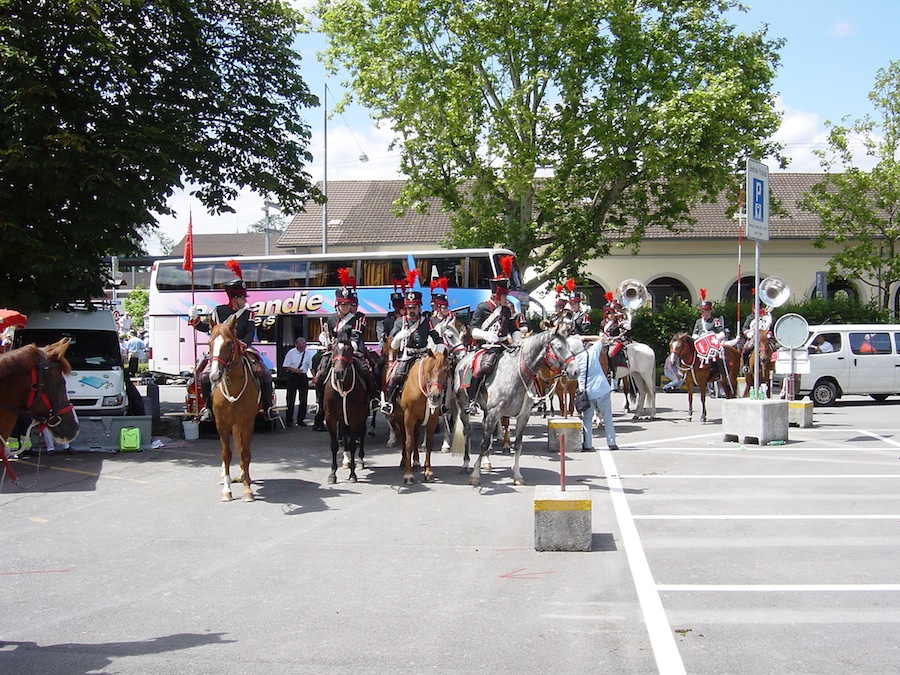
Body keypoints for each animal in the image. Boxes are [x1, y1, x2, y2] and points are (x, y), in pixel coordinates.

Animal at [207, 318, 256, 502]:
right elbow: (226, 454)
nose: (214, 376)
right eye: (209, 343)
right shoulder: (221, 424)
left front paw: (247, 489)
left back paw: (243, 475)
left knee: (241, 449)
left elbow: (245, 453)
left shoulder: (247, 422)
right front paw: (227, 490)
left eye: (228, 344)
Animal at [326, 336, 368, 484]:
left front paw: (353, 474)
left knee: (362, 434)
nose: (339, 373)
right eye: (333, 349)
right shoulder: (331, 419)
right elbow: (334, 445)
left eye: (349, 350)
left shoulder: (356, 418)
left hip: (363, 416)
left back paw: (360, 460)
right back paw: (346, 460)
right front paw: (332, 474)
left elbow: (353, 444)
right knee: (344, 435)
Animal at [392, 348, 454, 486]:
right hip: (399, 418)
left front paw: (428, 472)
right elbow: (408, 443)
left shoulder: (432, 419)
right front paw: (408, 475)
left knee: (415, 437)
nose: (435, 396)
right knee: (402, 437)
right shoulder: (408, 418)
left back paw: (415, 462)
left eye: (446, 370)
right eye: (429, 370)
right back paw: (404, 461)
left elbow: (429, 444)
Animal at [448, 328, 580, 486]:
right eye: (559, 347)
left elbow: (517, 445)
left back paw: (486, 461)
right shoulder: (495, 413)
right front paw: (475, 475)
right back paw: (466, 463)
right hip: (464, 407)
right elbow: (484, 443)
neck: (517, 375)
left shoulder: (522, 416)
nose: (576, 371)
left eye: (569, 347)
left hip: (486, 411)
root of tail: (462, 360)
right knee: (467, 431)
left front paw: (517, 475)